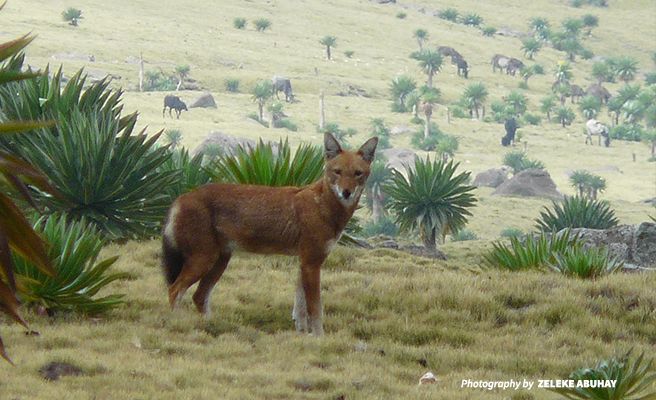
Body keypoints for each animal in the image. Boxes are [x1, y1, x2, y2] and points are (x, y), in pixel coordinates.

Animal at [162, 132, 378, 335]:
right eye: (337, 172)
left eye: (357, 173)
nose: (346, 192)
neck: (324, 205)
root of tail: (181, 197)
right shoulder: (312, 262)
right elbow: (316, 309)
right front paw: (319, 338)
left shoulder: (304, 262)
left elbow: (300, 308)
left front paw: (302, 335)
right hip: (204, 260)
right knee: (174, 290)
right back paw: (178, 324)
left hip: (219, 262)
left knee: (198, 297)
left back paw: (213, 325)